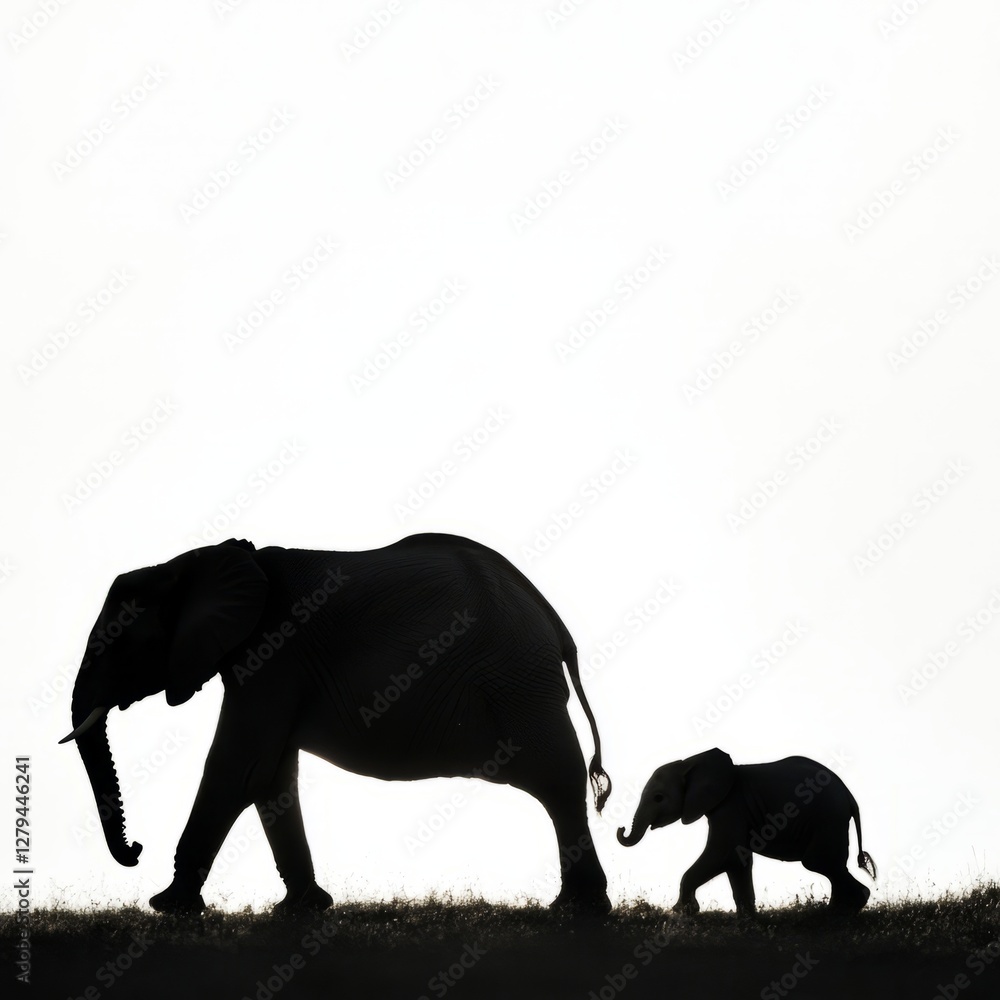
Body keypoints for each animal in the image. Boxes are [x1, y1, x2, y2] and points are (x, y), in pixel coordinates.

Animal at [61, 534, 613, 914]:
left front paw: (168, 907)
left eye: (118, 641)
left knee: (556, 779)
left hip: (519, 681)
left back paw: (579, 910)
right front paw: (303, 910)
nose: (135, 849)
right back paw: (577, 907)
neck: (203, 561)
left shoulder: (273, 655)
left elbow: (240, 769)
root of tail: (552, 619)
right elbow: (271, 776)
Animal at [616, 749, 876, 914]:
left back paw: (841, 913)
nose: (621, 828)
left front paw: (683, 912)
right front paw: (747, 919)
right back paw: (835, 913)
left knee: (819, 862)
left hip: (828, 818)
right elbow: (738, 861)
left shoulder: (730, 807)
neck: (691, 761)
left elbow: (724, 854)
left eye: (658, 798)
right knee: (830, 865)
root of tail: (850, 797)